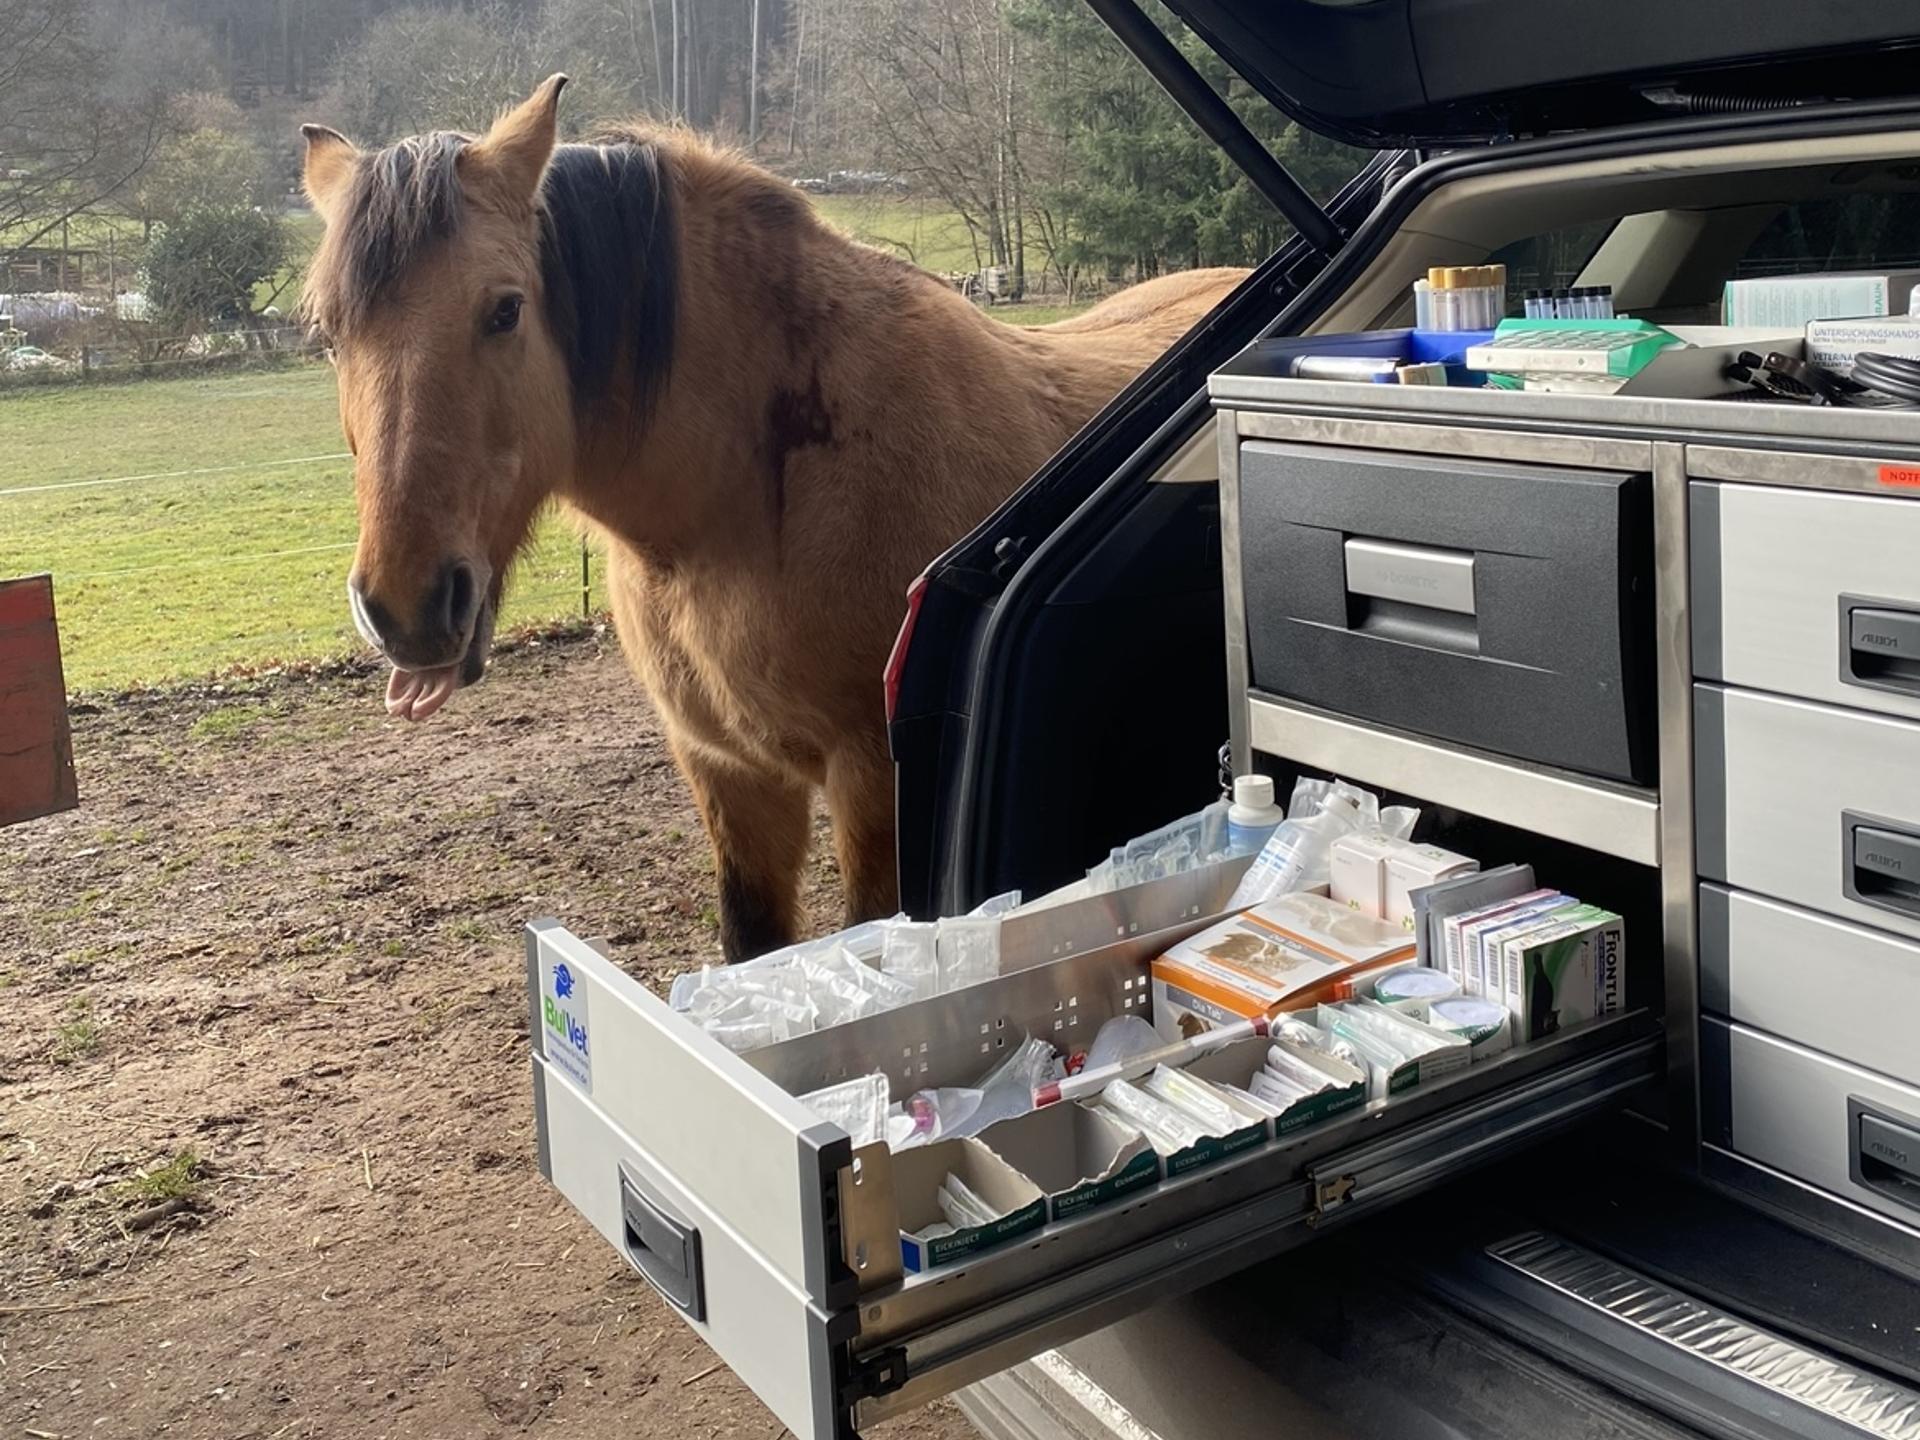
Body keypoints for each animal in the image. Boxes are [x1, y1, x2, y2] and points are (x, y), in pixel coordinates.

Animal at [299, 75, 1249, 962]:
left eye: (504, 309)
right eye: (329, 335)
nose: (406, 606)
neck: (745, 505)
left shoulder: (870, 781)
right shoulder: (729, 774)